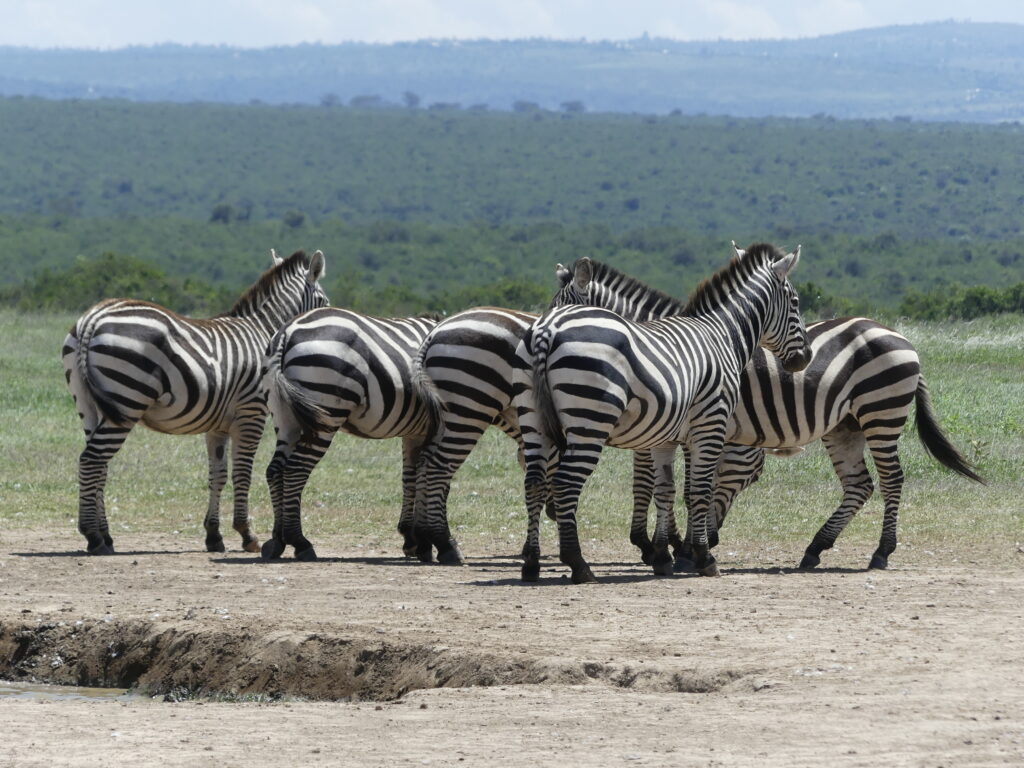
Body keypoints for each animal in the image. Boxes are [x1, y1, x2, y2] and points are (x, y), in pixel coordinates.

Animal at [62, 249, 329, 555]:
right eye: (323, 302)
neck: (263, 331)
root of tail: (93, 317)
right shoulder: (251, 413)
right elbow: (242, 473)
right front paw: (246, 534)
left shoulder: (218, 425)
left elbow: (218, 475)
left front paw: (214, 535)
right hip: (126, 400)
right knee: (92, 461)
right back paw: (93, 536)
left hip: (89, 407)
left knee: (100, 466)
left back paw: (105, 535)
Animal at [259, 308, 439, 561]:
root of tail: (287, 331)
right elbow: (425, 477)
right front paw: (422, 542)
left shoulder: (414, 432)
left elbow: (410, 478)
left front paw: (410, 538)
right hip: (326, 410)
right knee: (295, 470)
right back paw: (300, 542)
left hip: (285, 418)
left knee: (275, 471)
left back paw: (277, 540)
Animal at [410, 256, 686, 563]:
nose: (544, 327)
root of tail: (435, 331)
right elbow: (657, 482)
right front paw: (663, 544)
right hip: (469, 407)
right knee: (438, 466)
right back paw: (445, 544)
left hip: (449, 412)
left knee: (425, 461)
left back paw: (424, 540)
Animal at [514, 243, 811, 584]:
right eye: (796, 302)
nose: (804, 359)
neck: (722, 334)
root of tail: (547, 329)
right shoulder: (710, 425)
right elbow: (696, 490)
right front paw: (699, 555)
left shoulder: (664, 435)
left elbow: (664, 489)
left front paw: (662, 554)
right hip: (589, 421)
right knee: (564, 483)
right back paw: (578, 564)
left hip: (533, 419)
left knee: (534, 482)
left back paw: (532, 563)